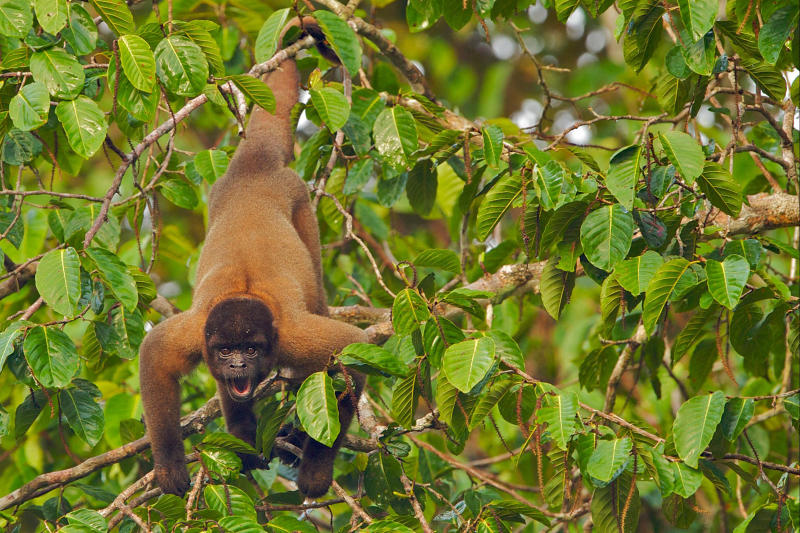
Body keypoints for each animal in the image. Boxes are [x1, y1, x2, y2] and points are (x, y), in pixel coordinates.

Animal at [139, 17, 366, 499]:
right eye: (226, 350)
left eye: (251, 348)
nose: (238, 365)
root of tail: (254, 166)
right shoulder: (198, 331)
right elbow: (155, 357)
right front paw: (168, 467)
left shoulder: (296, 338)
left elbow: (350, 360)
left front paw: (316, 469)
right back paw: (243, 439)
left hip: (300, 204)